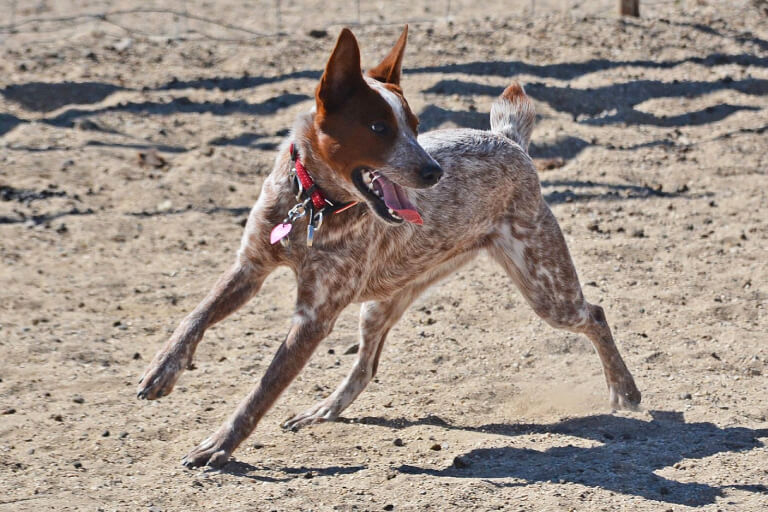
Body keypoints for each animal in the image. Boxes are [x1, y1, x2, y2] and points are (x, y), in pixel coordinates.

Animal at [136, 27, 640, 468]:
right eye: (379, 126)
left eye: (415, 126)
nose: (434, 172)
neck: (313, 204)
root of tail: (508, 139)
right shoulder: (250, 267)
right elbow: (194, 316)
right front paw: (162, 371)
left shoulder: (313, 318)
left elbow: (262, 389)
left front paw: (219, 445)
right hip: (379, 304)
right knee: (366, 367)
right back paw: (325, 410)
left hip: (545, 289)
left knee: (594, 314)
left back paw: (624, 391)